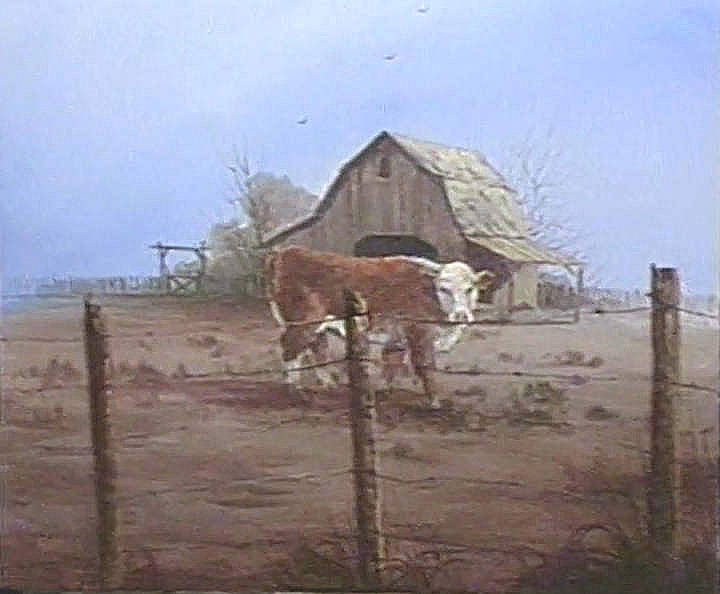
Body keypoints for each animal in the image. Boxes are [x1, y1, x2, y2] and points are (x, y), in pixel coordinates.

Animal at [265, 246, 494, 409]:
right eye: (444, 289)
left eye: (470, 288)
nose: (461, 314)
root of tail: (286, 252)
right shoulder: (419, 334)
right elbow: (426, 367)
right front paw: (435, 403)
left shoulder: (397, 337)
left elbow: (391, 365)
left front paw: (386, 393)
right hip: (303, 322)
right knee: (291, 348)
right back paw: (296, 391)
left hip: (317, 326)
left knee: (316, 348)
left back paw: (329, 386)